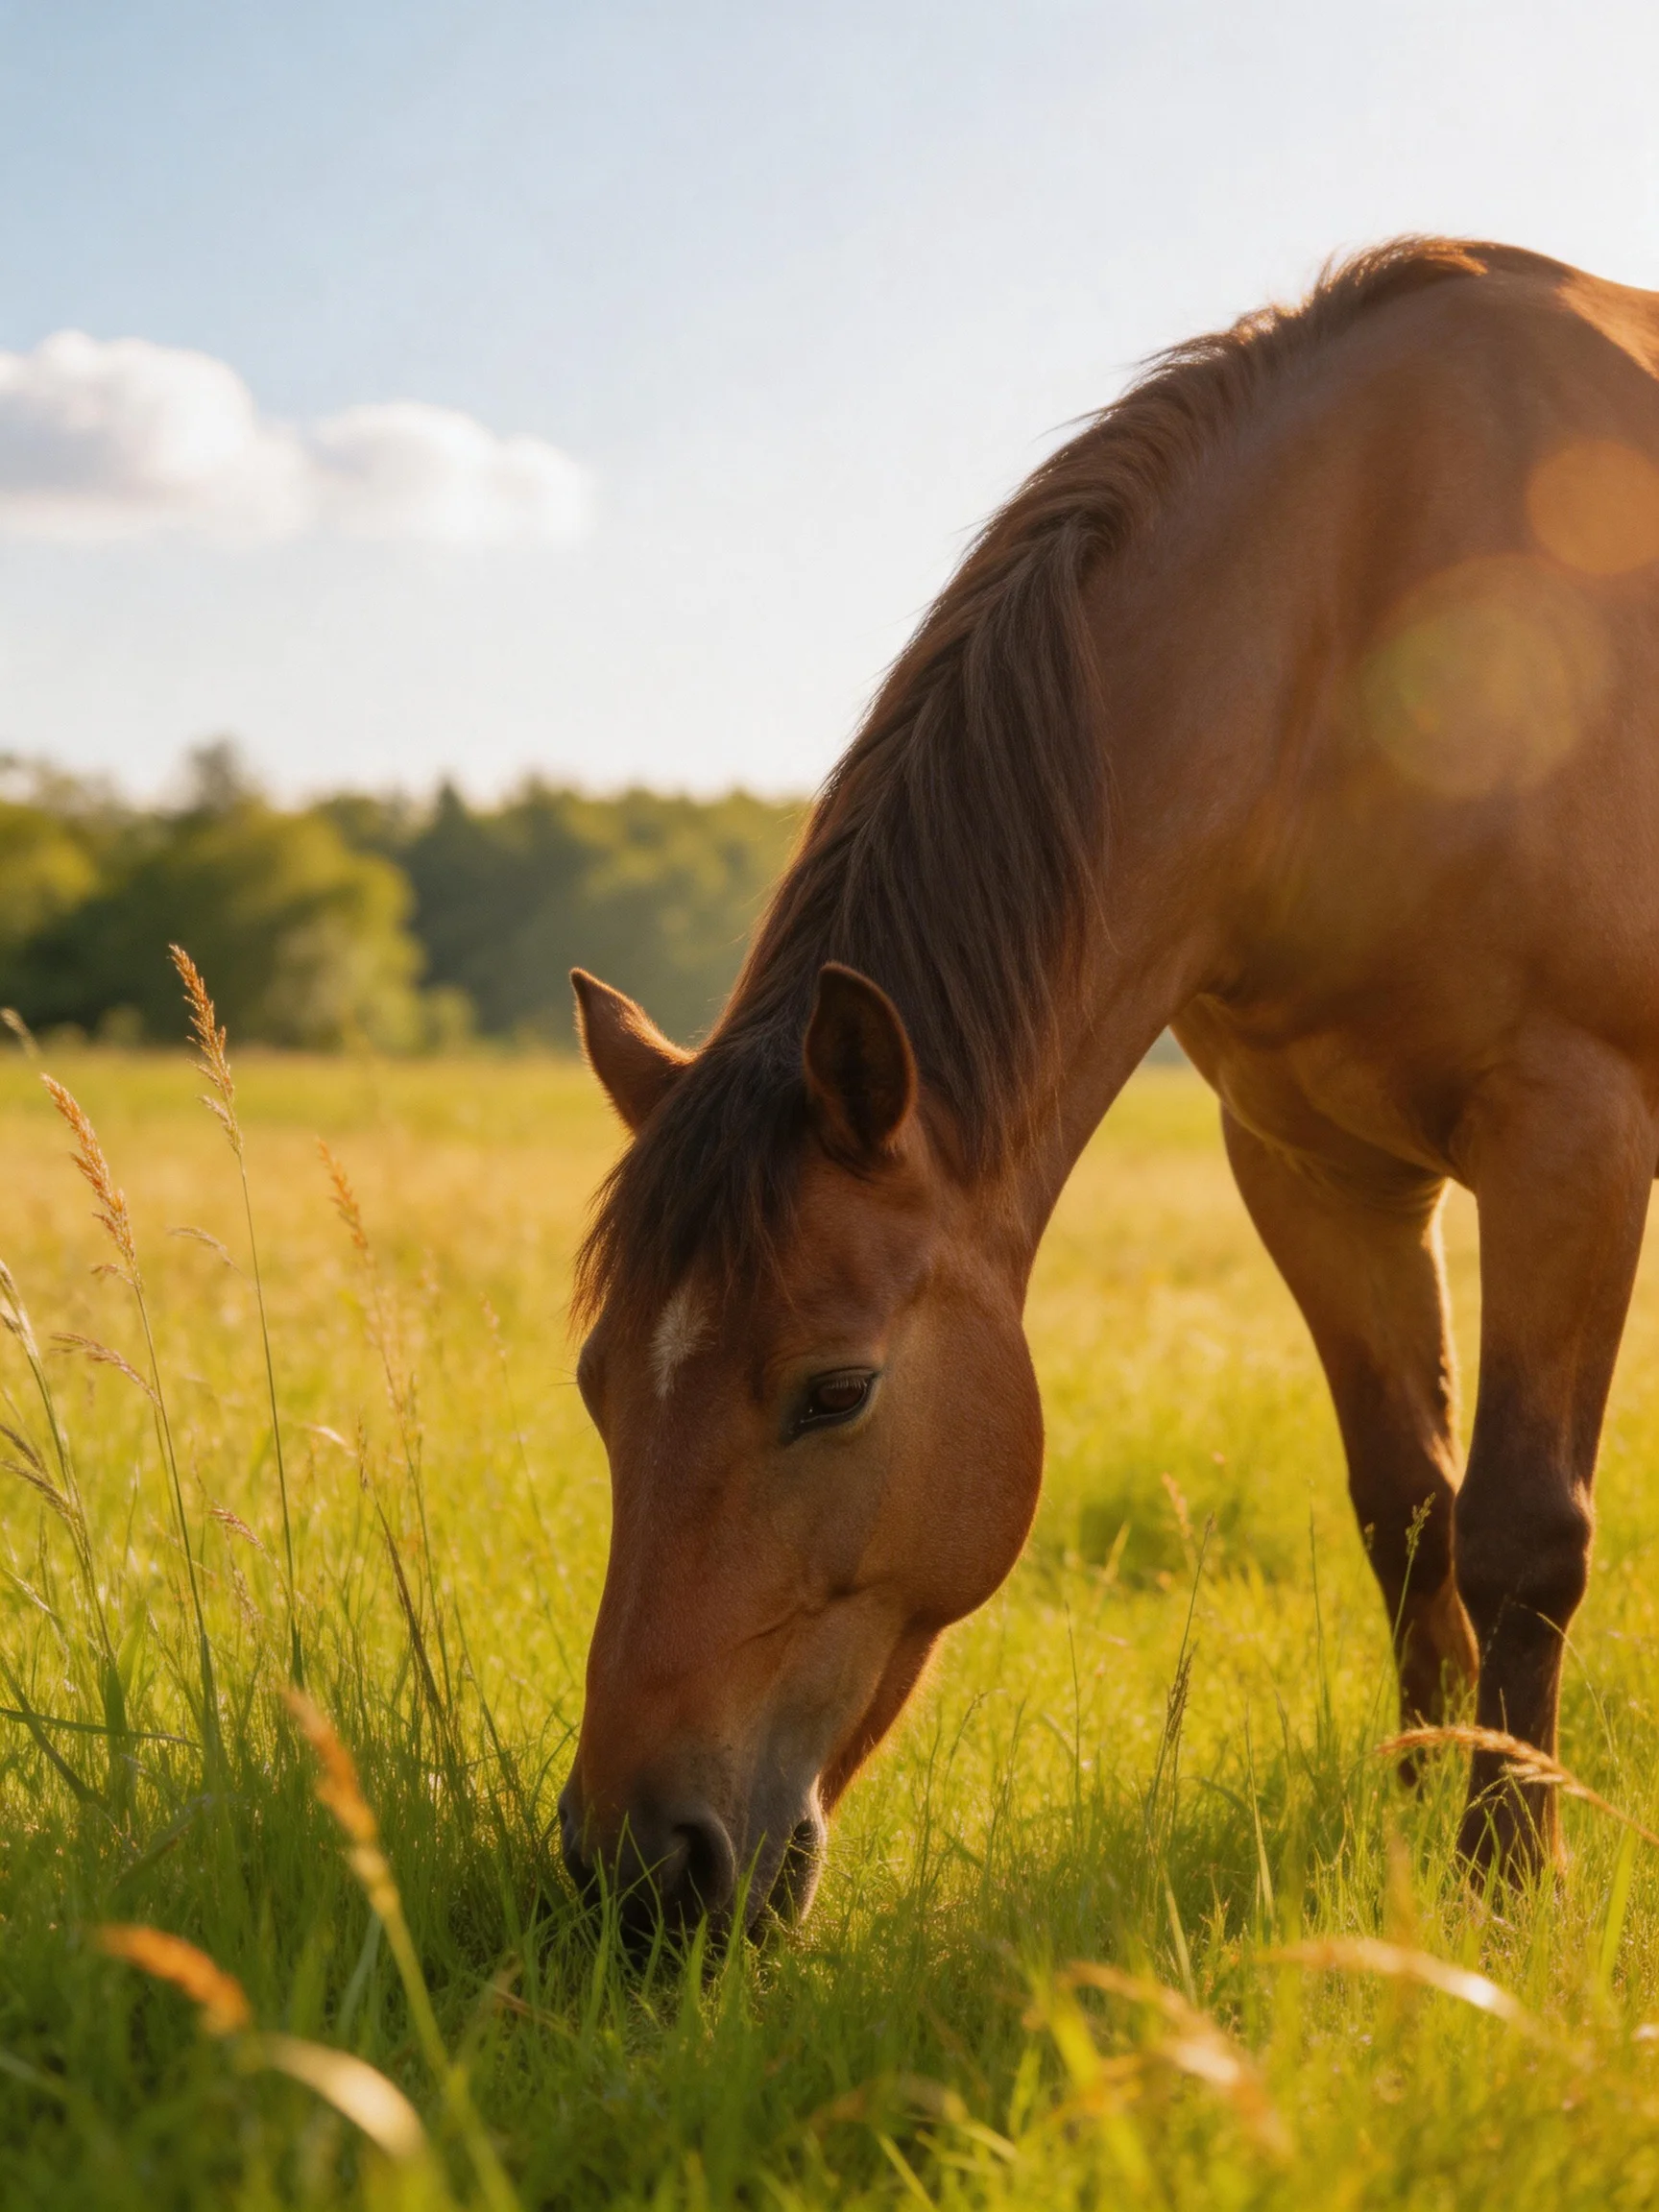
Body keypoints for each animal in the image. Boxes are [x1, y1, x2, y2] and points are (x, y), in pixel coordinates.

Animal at [559, 238, 1659, 1937]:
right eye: (597, 1382)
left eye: (836, 1391)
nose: (635, 1872)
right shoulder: (1316, 1171)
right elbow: (1406, 1513)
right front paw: (1419, 1812)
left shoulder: (1573, 1140)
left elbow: (1524, 1533)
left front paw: (1502, 1880)